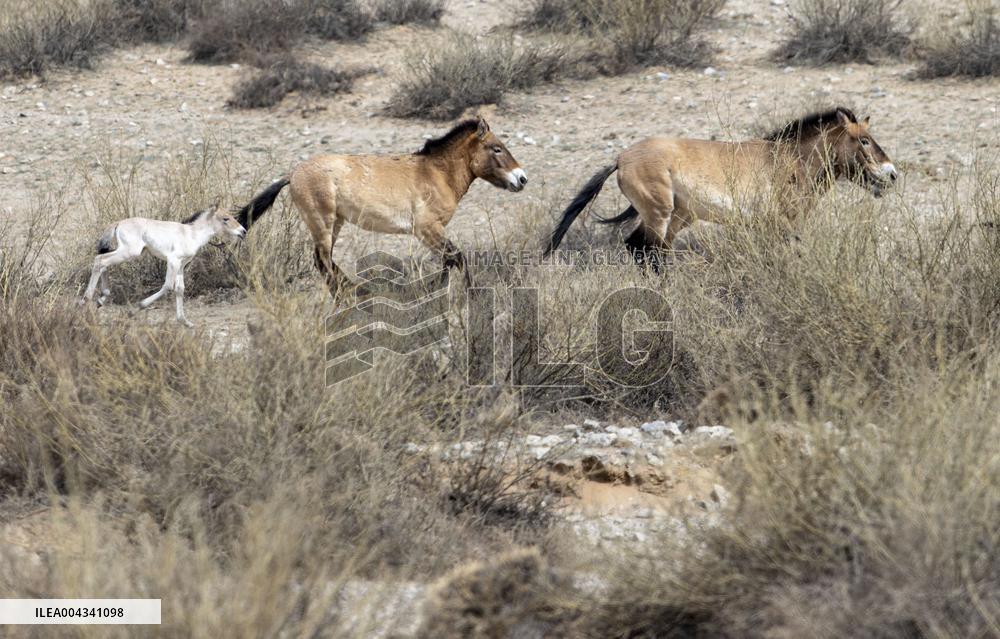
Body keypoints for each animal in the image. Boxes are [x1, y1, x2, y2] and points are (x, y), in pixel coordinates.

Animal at [81, 201, 246, 326]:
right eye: (225, 218)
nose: (243, 231)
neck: (191, 234)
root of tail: (119, 222)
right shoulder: (173, 261)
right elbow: (168, 286)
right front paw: (134, 309)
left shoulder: (181, 265)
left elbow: (180, 289)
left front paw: (185, 321)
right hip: (129, 252)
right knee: (101, 260)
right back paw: (86, 300)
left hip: (126, 251)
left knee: (102, 261)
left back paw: (101, 299)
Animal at [235, 116, 527, 295]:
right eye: (497, 148)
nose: (522, 179)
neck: (436, 173)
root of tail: (293, 173)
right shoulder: (427, 229)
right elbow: (457, 257)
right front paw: (470, 292)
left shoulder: (432, 232)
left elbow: (449, 259)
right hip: (322, 222)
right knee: (322, 261)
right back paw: (347, 296)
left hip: (335, 223)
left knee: (324, 260)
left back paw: (353, 292)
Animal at [543, 107, 897, 264]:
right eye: (864, 140)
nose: (892, 174)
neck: (789, 159)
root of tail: (621, 158)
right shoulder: (783, 224)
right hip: (660, 215)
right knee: (645, 249)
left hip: (678, 218)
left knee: (644, 248)